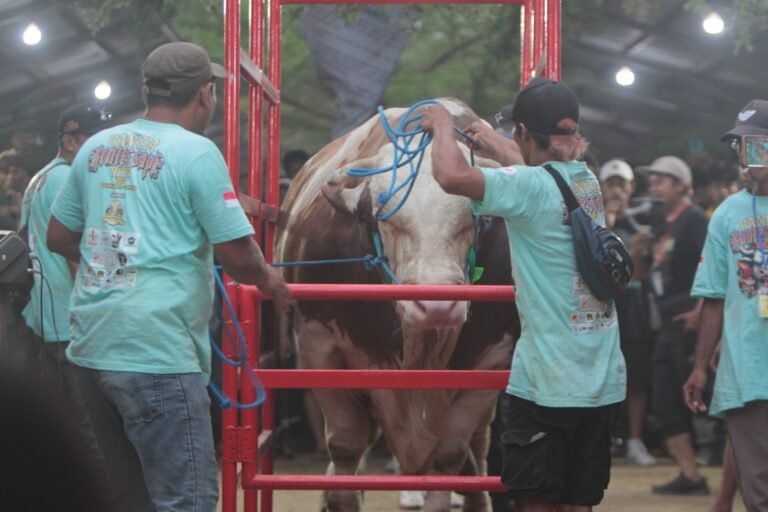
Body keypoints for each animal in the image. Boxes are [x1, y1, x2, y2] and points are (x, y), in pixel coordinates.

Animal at [272, 100, 520, 512]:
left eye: (472, 217)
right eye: (385, 218)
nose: (437, 307)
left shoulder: (491, 361)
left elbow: (448, 457)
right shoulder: (319, 347)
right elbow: (345, 445)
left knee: (476, 451)